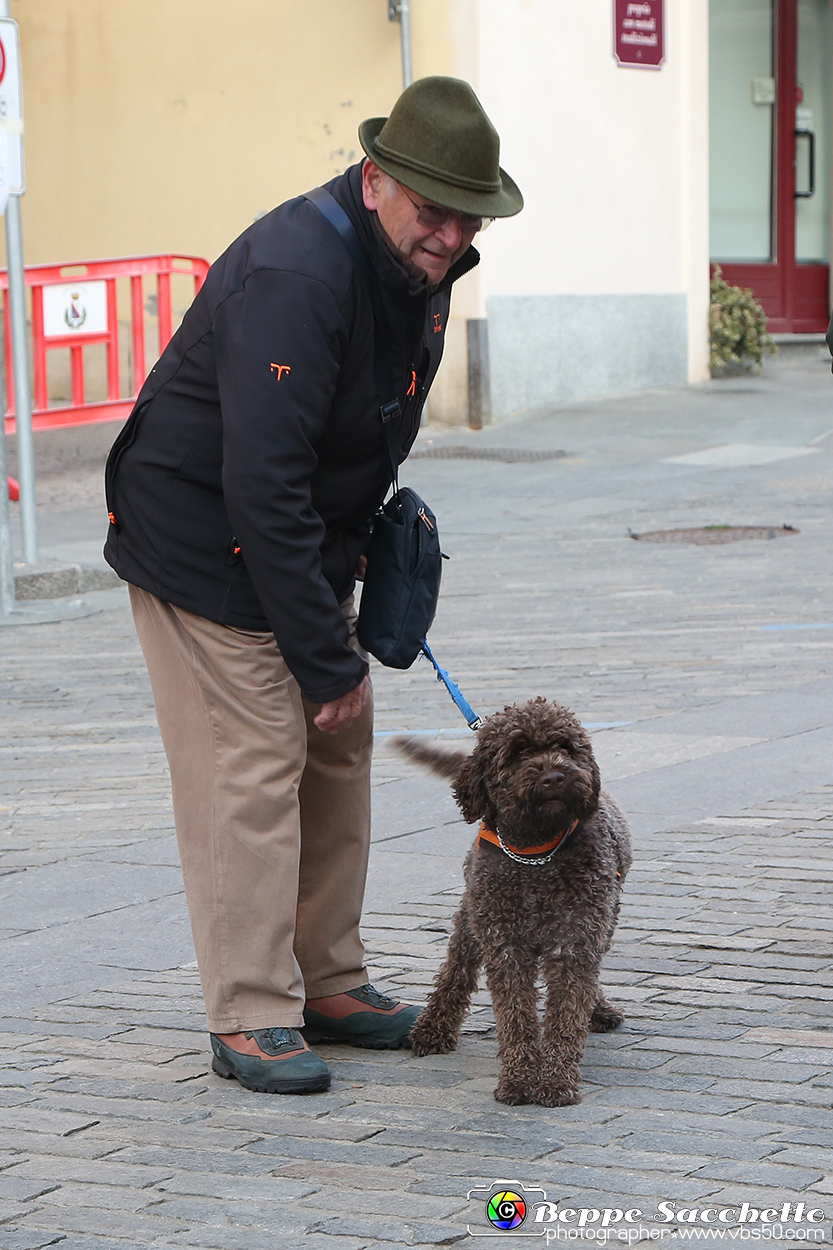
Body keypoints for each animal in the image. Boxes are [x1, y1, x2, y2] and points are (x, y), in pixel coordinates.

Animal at [395, 700, 630, 1110]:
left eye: (566, 747)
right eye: (518, 752)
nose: (554, 776)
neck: (537, 854)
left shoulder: (574, 942)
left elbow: (567, 1014)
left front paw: (555, 1080)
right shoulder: (505, 946)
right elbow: (515, 1017)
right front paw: (519, 1079)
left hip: (600, 924)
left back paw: (598, 1010)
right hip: (470, 920)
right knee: (455, 972)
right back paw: (431, 1029)